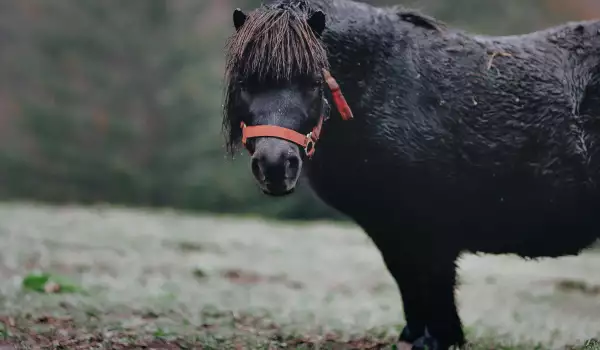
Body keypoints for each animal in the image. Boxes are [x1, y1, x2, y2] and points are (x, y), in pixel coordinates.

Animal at [223, 1, 600, 348]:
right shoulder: (391, 230)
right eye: (244, 82)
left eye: (315, 82)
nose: (275, 165)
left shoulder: (431, 231)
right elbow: (408, 283)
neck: (385, 85)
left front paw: (438, 339)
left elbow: (434, 285)